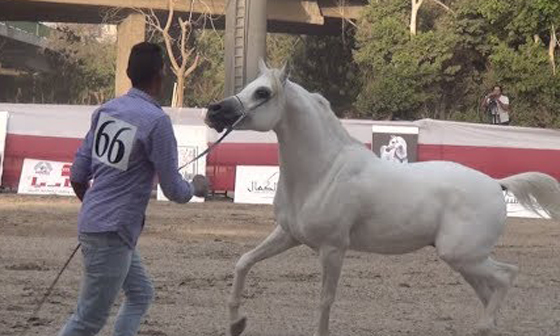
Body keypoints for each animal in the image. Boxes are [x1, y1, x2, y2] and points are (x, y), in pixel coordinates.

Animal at [205, 61, 560, 336]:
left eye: (263, 93)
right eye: (249, 86)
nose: (213, 112)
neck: (324, 171)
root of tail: (496, 184)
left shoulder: (333, 249)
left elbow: (325, 300)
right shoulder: (288, 235)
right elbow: (243, 262)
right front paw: (237, 323)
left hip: (463, 256)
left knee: (506, 276)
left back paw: (484, 324)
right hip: (466, 261)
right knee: (491, 291)